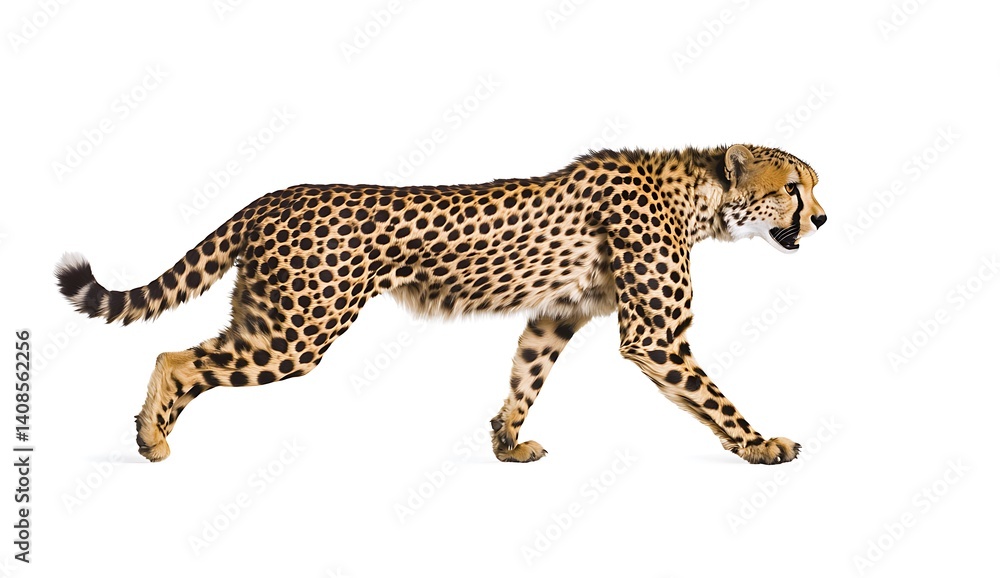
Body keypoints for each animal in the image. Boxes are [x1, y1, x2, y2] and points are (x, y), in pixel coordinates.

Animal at [55, 144, 826, 464]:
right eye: (794, 187)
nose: (821, 219)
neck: (701, 196)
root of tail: (273, 195)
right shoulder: (657, 338)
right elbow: (713, 396)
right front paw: (760, 444)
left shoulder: (558, 314)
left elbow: (525, 377)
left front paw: (506, 443)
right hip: (298, 332)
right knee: (175, 356)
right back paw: (152, 436)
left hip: (270, 317)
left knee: (192, 358)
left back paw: (149, 434)